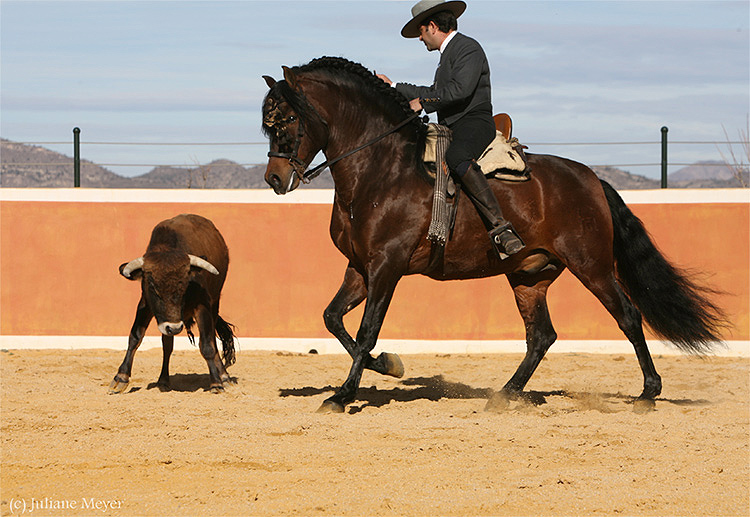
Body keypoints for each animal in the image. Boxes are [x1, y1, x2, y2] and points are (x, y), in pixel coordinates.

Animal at [108, 213, 236, 392]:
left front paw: (216, 382)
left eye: (184, 285)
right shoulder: (146, 304)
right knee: (167, 345)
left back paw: (224, 376)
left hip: (215, 303)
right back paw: (163, 379)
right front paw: (121, 377)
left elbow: (207, 344)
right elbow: (135, 336)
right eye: (152, 287)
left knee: (211, 339)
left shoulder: (202, 305)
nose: (174, 327)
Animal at [262, 55, 724, 412]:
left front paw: (343, 395)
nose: (274, 178)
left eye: (287, 118)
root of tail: (590, 178)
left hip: (590, 266)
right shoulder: (359, 267)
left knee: (627, 316)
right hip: (528, 275)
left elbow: (365, 331)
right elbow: (333, 319)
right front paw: (388, 365)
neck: (382, 168)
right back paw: (505, 394)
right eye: (267, 123)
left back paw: (648, 393)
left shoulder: (386, 267)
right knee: (541, 335)